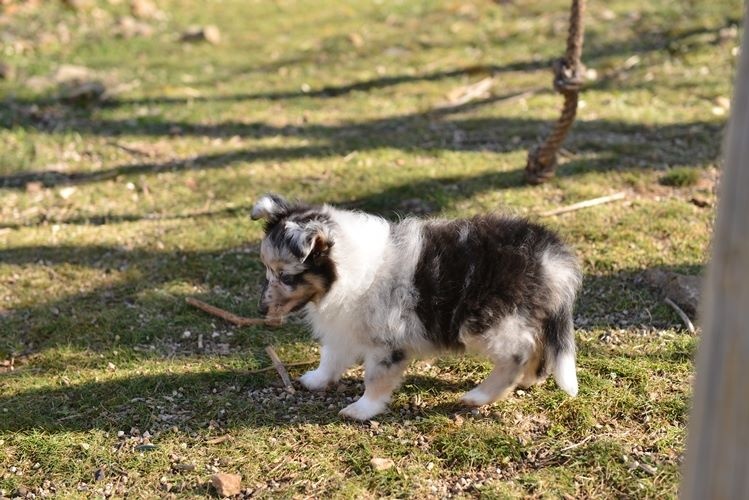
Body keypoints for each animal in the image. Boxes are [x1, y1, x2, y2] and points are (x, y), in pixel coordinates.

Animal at [248, 193, 580, 420]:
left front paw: (362, 409)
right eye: (266, 270)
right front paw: (315, 380)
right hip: (522, 314)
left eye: (286, 276)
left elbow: (375, 377)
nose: (261, 311)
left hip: (488, 321)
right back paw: (527, 379)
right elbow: (331, 356)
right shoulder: (344, 327)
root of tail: (550, 255)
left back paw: (480, 396)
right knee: (537, 347)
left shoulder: (386, 342)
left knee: (517, 353)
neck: (348, 268)